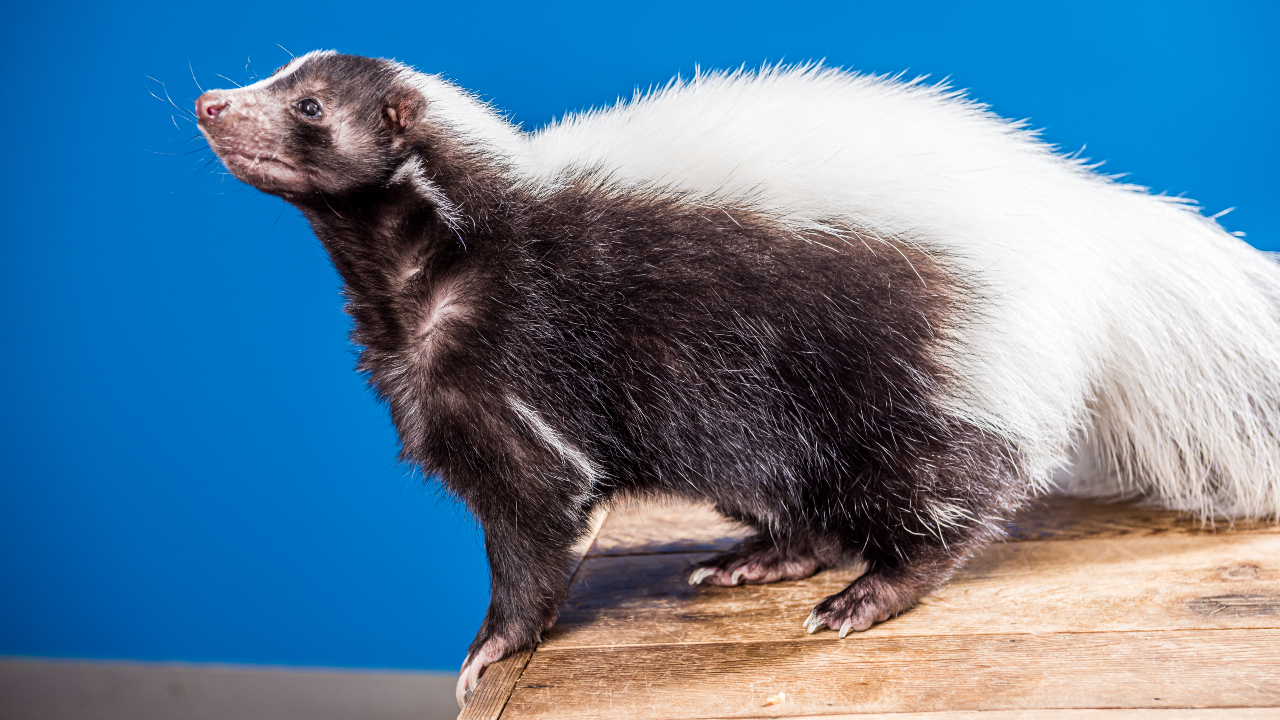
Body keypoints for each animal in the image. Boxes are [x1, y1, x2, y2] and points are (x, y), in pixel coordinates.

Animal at [194, 51, 1280, 707]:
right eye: (279, 78)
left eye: (305, 107)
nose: (209, 102)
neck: (432, 253)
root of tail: (1084, 229)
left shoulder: (519, 362)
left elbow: (538, 514)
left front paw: (490, 648)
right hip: (759, 407)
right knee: (799, 485)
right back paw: (763, 557)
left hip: (909, 353)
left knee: (946, 484)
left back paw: (869, 593)